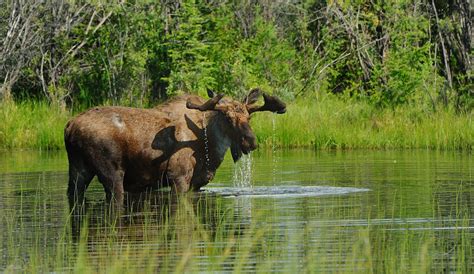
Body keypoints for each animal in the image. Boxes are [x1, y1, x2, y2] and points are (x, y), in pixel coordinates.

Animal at [63, 88, 286, 203]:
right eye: (228, 118)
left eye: (249, 117)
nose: (251, 141)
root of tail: (69, 127)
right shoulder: (179, 176)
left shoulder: (196, 182)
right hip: (112, 172)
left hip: (78, 169)